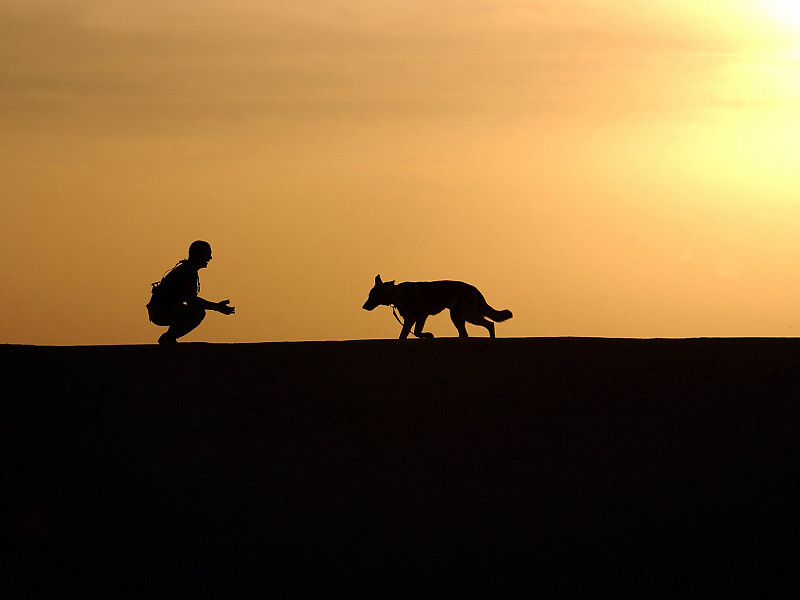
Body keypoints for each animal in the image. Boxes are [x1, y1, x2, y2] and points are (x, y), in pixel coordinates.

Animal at [362, 276, 512, 340]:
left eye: (371, 295)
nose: (363, 307)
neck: (394, 293)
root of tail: (476, 290)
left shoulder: (419, 317)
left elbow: (415, 332)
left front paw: (428, 335)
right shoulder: (411, 319)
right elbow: (404, 335)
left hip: (464, 316)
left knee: (489, 324)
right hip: (460, 316)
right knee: (469, 332)